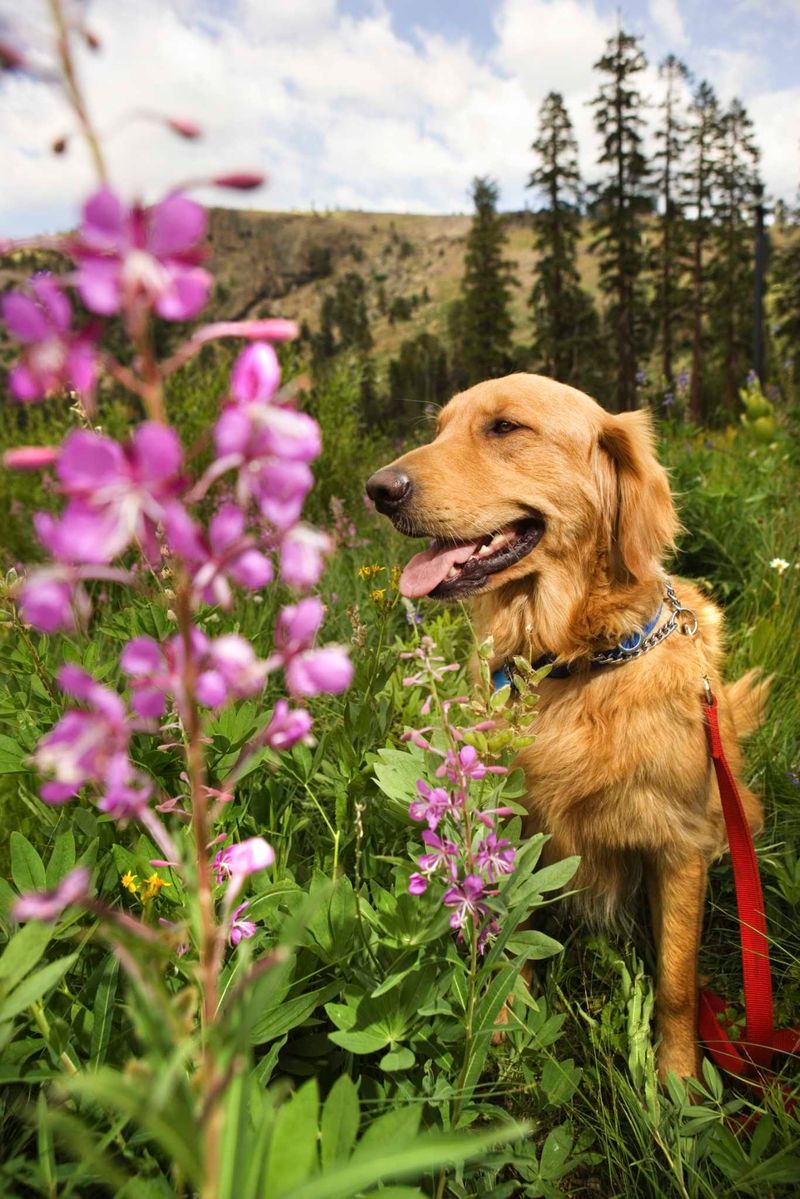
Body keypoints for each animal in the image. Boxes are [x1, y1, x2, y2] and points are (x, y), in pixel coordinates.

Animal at [367, 371, 767, 1079]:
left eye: (505, 428)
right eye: (439, 428)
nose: (378, 489)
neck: (574, 664)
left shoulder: (679, 845)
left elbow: (676, 982)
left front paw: (680, 1085)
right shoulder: (508, 823)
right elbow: (502, 931)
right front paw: (502, 1027)